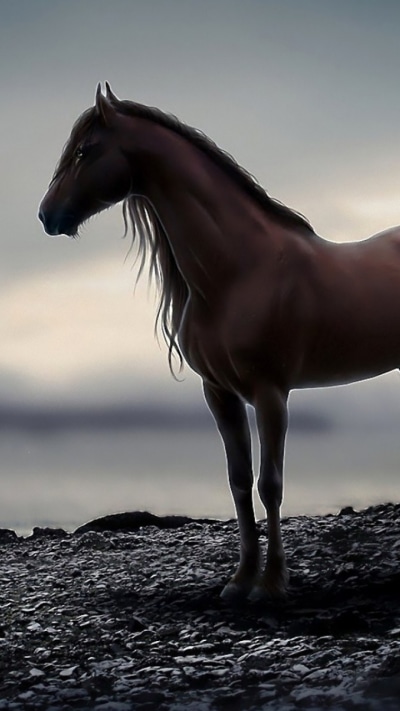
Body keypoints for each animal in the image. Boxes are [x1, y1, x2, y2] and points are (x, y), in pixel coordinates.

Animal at [39, 83, 400, 602]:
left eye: (85, 151)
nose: (46, 214)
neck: (240, 270)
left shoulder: (271, 393)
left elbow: (271, 484)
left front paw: (271, 583)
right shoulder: (220, 393)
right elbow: (238, 482)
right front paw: (240, 579)